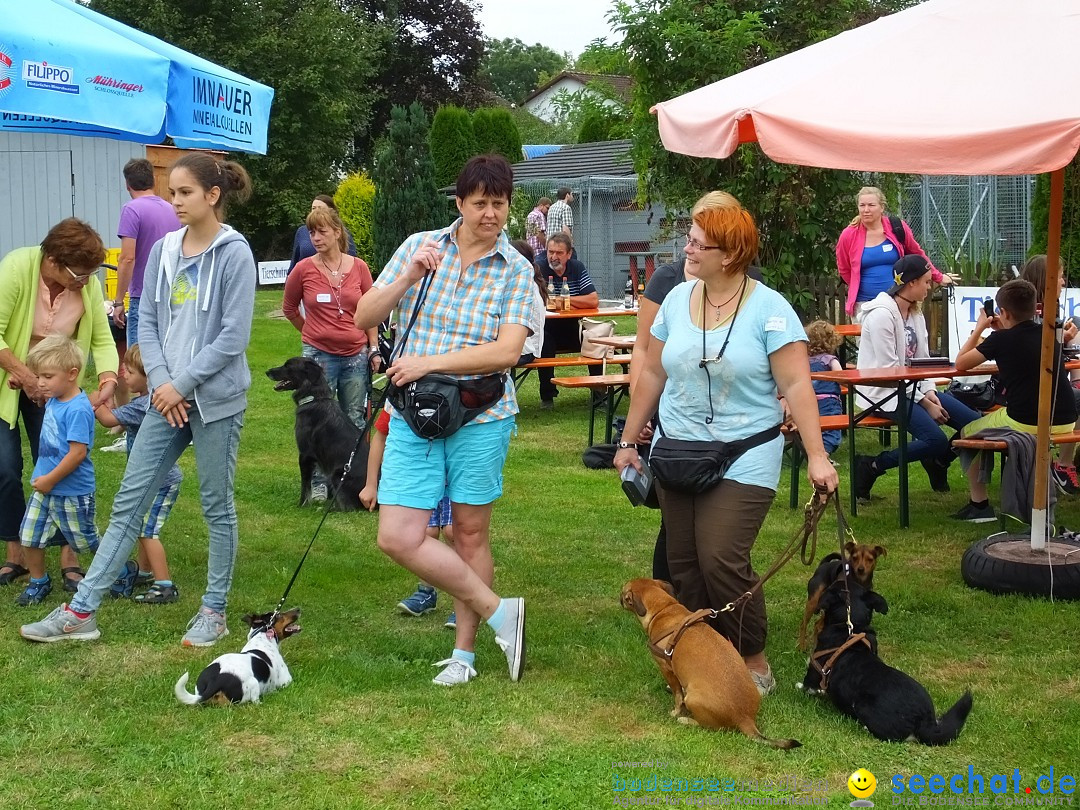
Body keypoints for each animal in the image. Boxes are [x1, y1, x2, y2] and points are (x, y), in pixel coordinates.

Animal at [173, 609, 302, 704]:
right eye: (279, 614)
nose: (298, 609)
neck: (261, 637)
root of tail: (215, 681)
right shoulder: (286, 681)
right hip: (253, 684)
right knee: (255, 701)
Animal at [266, 358, 369, 509]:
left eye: (288, 366)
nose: (267, 371)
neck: (314, 398)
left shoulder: (304, 454)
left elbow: (305, 486)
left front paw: (301, 505)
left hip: (337, 475)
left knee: (349, 508)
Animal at [622, 578, 799, 751]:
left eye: (624, 594)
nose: (619, 597)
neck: (663, 609)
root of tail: (745, 718)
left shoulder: (666, 670)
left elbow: (677, 696)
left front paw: (676, 712)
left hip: (693, 698)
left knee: (707, 726)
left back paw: (686, 720)